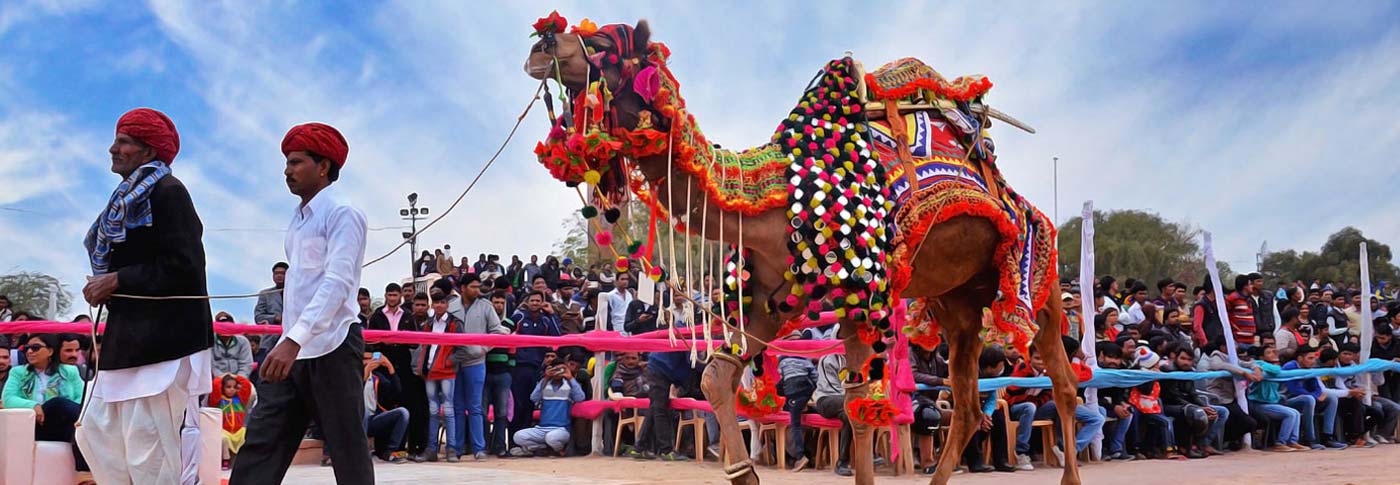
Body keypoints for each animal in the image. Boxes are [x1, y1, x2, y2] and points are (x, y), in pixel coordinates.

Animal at [526, 13, 1080, 482]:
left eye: (602, 44)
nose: (541, 43)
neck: (775, 199)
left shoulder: (864, 296)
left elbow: (860, 408)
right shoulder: (769, 300)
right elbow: (716, 380)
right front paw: (743, 470)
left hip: (1039, 272)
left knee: (1064, 383)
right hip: (958, 303)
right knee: (964, 406)